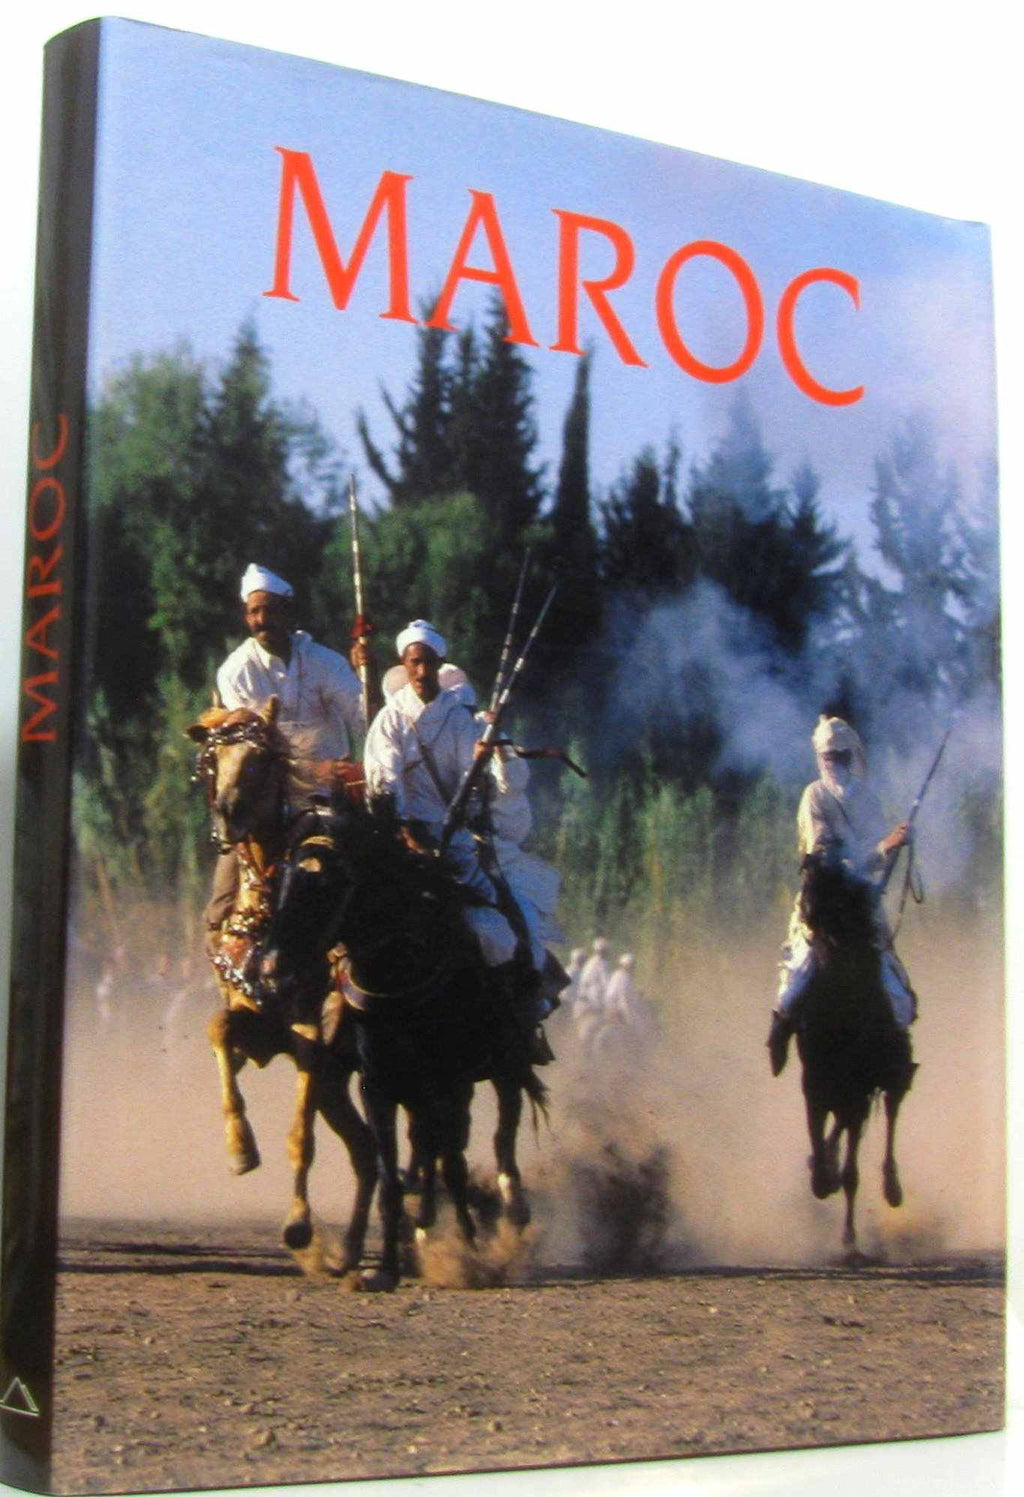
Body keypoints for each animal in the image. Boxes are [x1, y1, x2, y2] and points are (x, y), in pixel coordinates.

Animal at [187, 698, 377, 1271]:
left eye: (260, 759)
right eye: (214, 759)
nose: (227, 811)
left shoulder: (311, 1035)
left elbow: (301, 1137)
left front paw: (297, 1224)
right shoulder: (254, 1025)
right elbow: (219, 1030)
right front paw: (240, 1150)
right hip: (338, 1085)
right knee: (368, 1154)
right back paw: (351, 1250)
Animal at [260, 795, 547, 1292]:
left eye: (328, 883)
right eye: (284, 876)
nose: (273, 969)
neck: (401, 966)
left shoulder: (451, 1079)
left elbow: (452, 1160)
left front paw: (468, 1251)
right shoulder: (379, 1084)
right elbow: (391, 1172)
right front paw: (386, 1268)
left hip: (502, 1062)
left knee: (501, 1127)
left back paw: (509, 1203)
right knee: (425, 1145)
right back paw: (420, 1225)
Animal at [790, 851, 917, 1252]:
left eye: (833, 889)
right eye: (805, 878)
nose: (808, 915)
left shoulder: (859, 1089)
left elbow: (851, 1171)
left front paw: (849, 1240)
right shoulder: (815, 1085)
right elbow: (819, 1135)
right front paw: (821, 1175)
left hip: (888, 1079)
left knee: (890, 1112)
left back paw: (892, 1187)